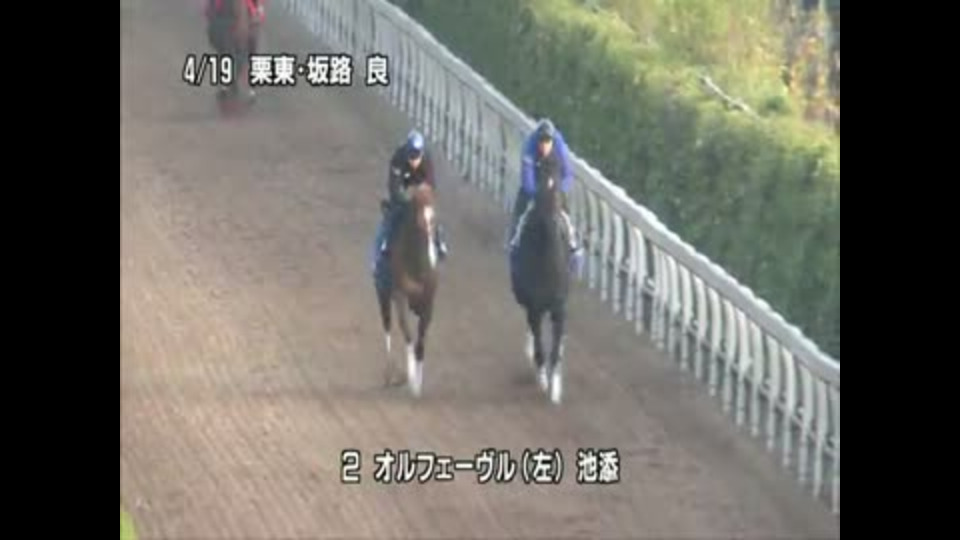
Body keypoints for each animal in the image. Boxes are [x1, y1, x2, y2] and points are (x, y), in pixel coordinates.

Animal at [375, 183, 440, 397]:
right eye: (417, 209)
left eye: (434, 211)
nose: (429, 224)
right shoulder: (399, 295)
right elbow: (407, 333)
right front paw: (411, 378)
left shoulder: (428, 300)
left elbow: (421, 339)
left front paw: (418, 383)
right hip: (383, 294)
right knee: (387, 326)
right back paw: (390, 374)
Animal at [510, 174, 571, 405]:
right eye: (540, 189)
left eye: (559, 184)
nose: (553, 220)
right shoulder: (534, 307)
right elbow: (538, 342)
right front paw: (544, 377)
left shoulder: (559, 307)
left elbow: (556, 347)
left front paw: (555, 388)